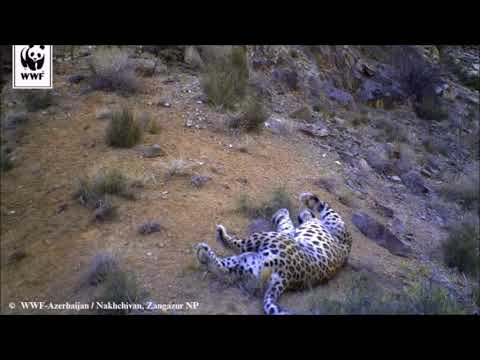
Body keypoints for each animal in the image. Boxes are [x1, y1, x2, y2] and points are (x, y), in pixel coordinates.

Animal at [195, 193, 352, 314]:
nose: (300, 215)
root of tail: (286, 278)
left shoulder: (329, 224)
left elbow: (321, 205)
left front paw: (301, 201)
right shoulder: (294, 231)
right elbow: (290, 222)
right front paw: (286, 211)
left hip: (266, 240)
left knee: (237, 246)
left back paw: (217, 237)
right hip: (248, 263)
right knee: (221, 265)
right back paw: (204, 253)